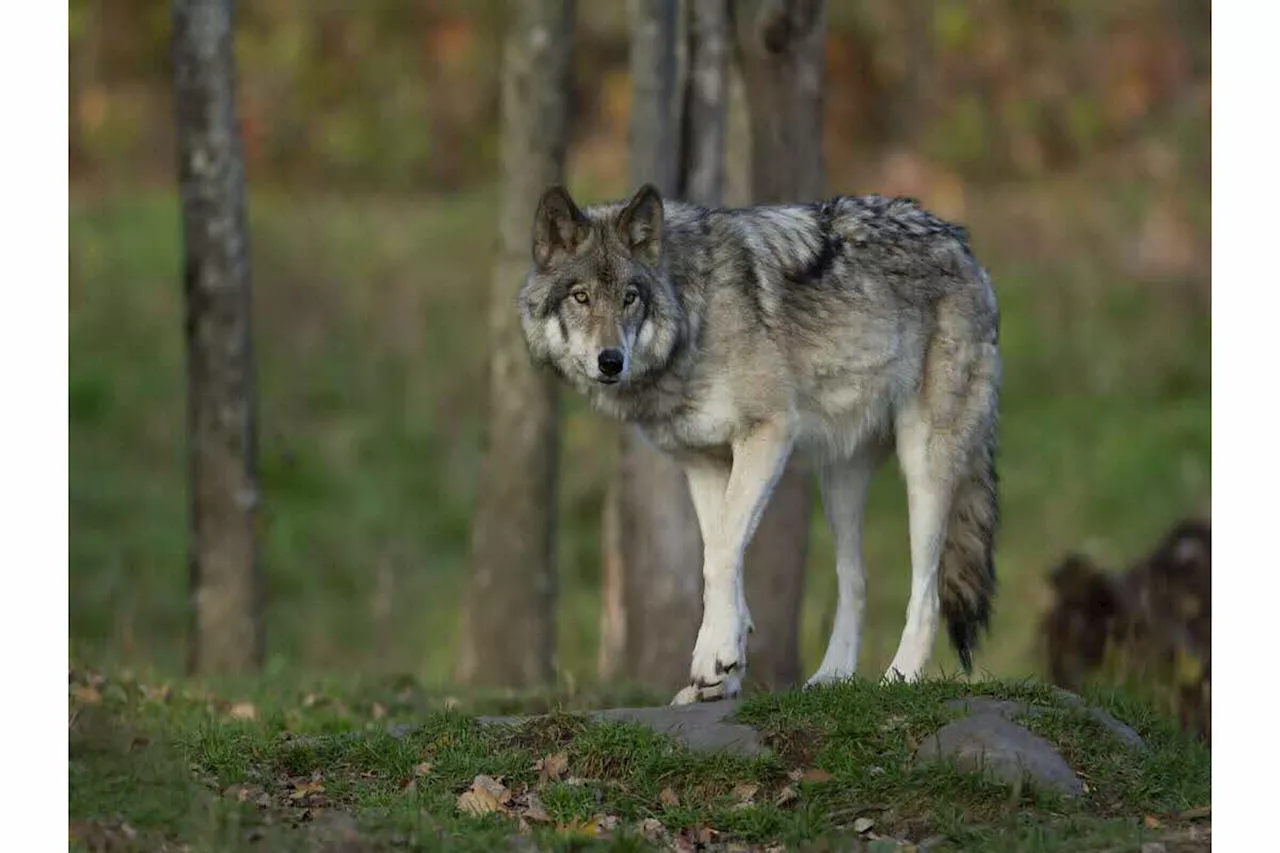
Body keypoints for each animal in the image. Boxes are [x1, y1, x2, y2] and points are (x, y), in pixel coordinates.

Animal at [517, 183, 998, 701]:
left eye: (629, 297)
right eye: (581, 297)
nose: (611, 361)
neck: (695, 315)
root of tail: (962, 243)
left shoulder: (768, 435)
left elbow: (722, 554)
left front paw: (714, 657)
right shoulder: (704, 464)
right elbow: (720, 555)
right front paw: (722, 671)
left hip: (923, 467)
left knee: (926, 592)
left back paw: (899, 676)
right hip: (838, 482)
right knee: (856, 579)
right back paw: (831, 680)